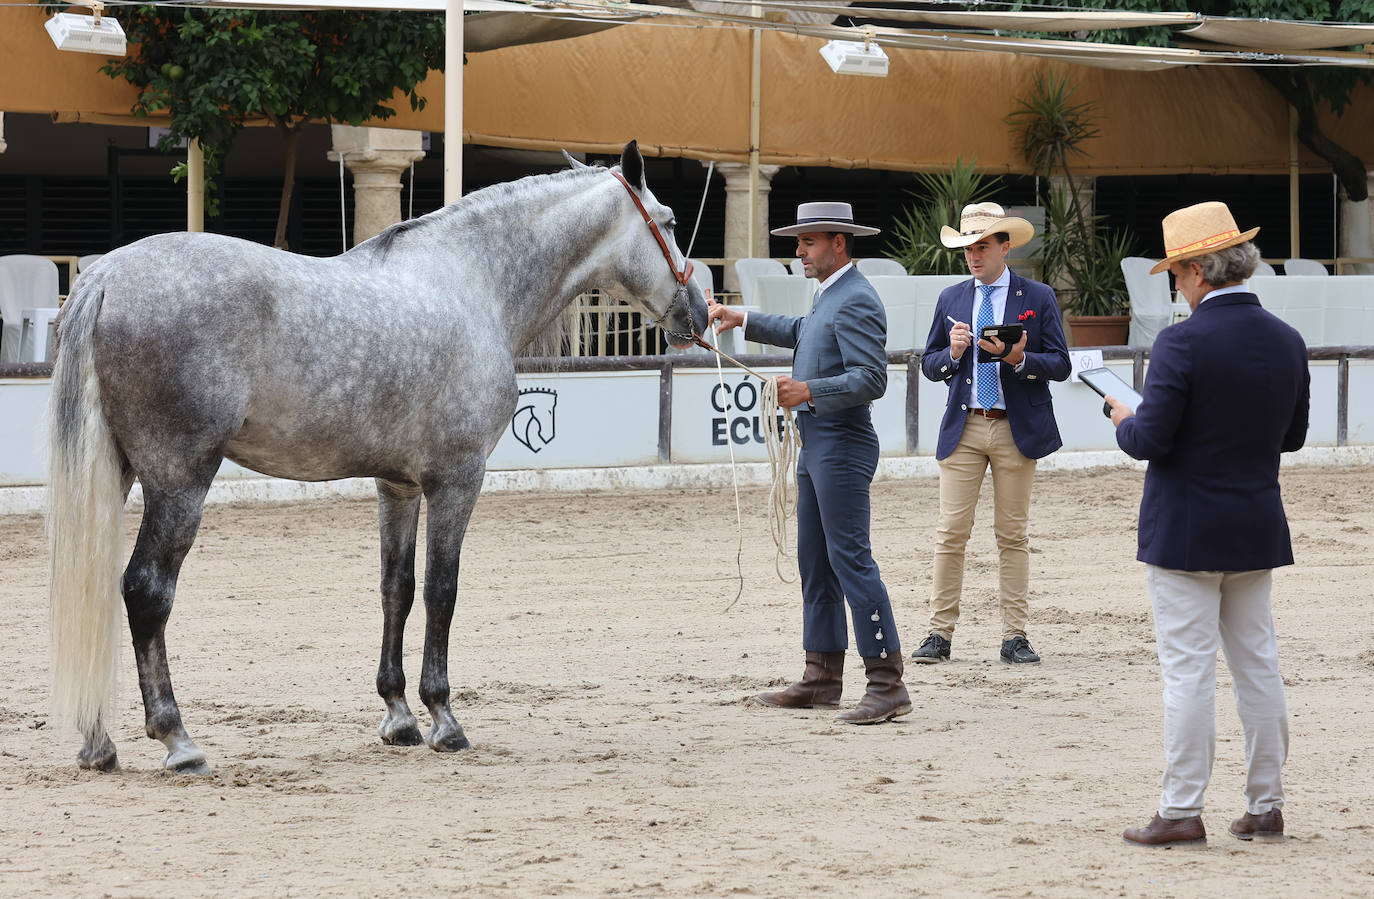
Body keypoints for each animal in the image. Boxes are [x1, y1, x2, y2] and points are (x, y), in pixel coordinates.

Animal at [50, 140, 708, 775]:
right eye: (672, 222)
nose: (699, 314)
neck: (471, 284)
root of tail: (104, 275)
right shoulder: (457, 480)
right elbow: (443, 589)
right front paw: (444, 720)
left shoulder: (398, 487)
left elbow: (399, 587)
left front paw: (398, 716)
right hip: (180, 479)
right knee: (146, 590)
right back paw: (177, 740)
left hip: (120, 472)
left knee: (96, 585)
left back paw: (97, 744)